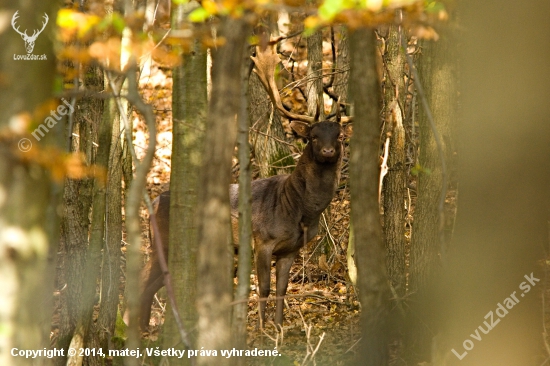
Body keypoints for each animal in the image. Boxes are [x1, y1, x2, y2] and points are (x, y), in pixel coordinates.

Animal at [139, 45, 350, 328]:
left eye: (339, 136)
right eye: (313, 137)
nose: (328, 151)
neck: (298, 209)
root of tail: (153, 203)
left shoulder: (291, 249)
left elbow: (281, 289)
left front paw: (279, 327)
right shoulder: (262, 240)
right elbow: (264, 289)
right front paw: (261, 328)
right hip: (162, 240)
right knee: (144, 282)